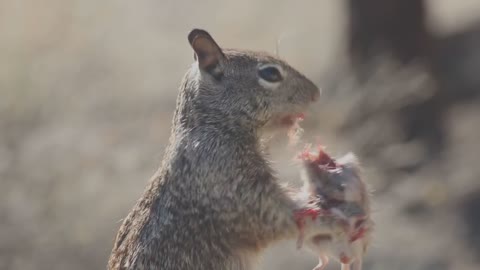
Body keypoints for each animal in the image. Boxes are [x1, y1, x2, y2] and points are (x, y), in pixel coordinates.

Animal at [107, 28, 346, 268]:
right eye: (271, 73)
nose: (316, 93)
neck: (213, 126)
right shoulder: (244, 194)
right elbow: (282, 219)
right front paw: (331, 222)